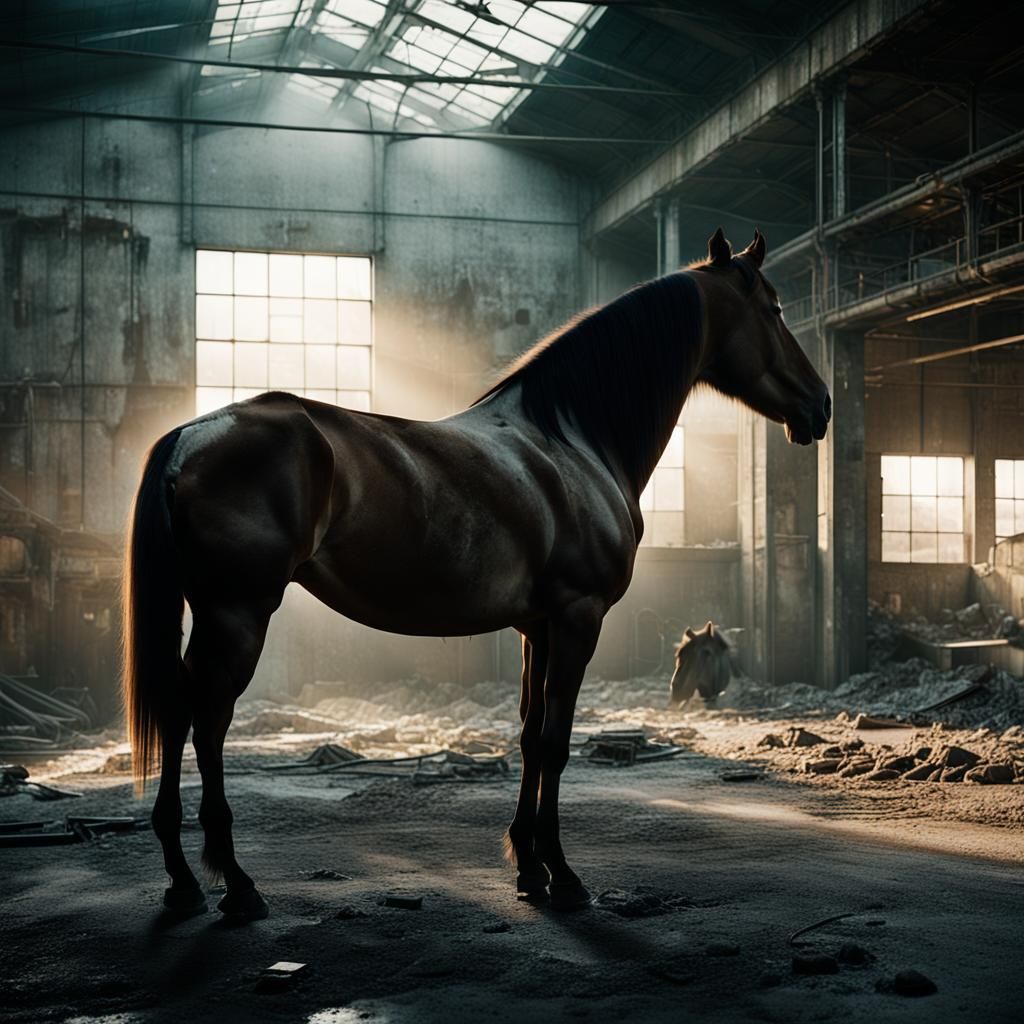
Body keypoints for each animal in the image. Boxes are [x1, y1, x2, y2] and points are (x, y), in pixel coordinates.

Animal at [122, 228, 830, 921]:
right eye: (774, 308)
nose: (820, 406)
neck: (572, 440)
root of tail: (190, 437)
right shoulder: (577, 619)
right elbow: (557, 741)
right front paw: (563, 875)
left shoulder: (536, 627)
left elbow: (528, 735)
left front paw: (529, 868)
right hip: (237, 614)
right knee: (207, 720)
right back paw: (236, 884)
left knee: (180, 713)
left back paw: (183, 881)